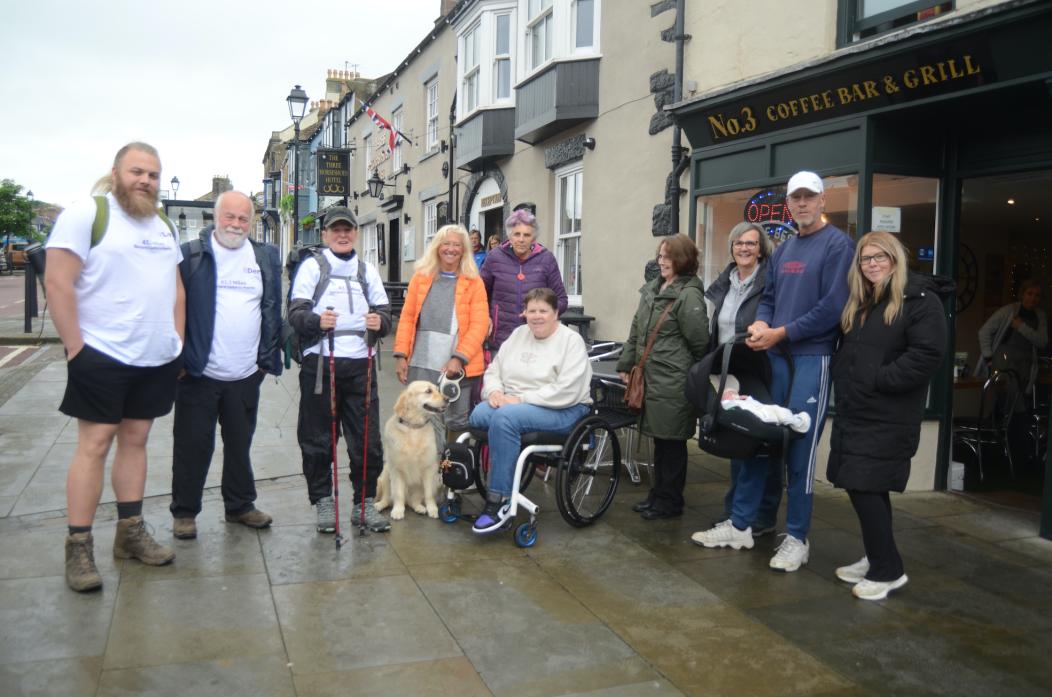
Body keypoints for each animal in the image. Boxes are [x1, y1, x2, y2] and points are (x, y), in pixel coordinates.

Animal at [374, 382, 448, 517]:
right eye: (428, 391)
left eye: (437, 389)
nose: (448, 399)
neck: (413, 428)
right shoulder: (396, 469)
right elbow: (398, 493)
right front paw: (398, 510)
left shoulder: (429, 468)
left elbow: (429, 494)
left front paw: (432, 509)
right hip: (386, 473)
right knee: (387, 498)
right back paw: (380, 505)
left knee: (414, 501)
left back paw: (420, 508)